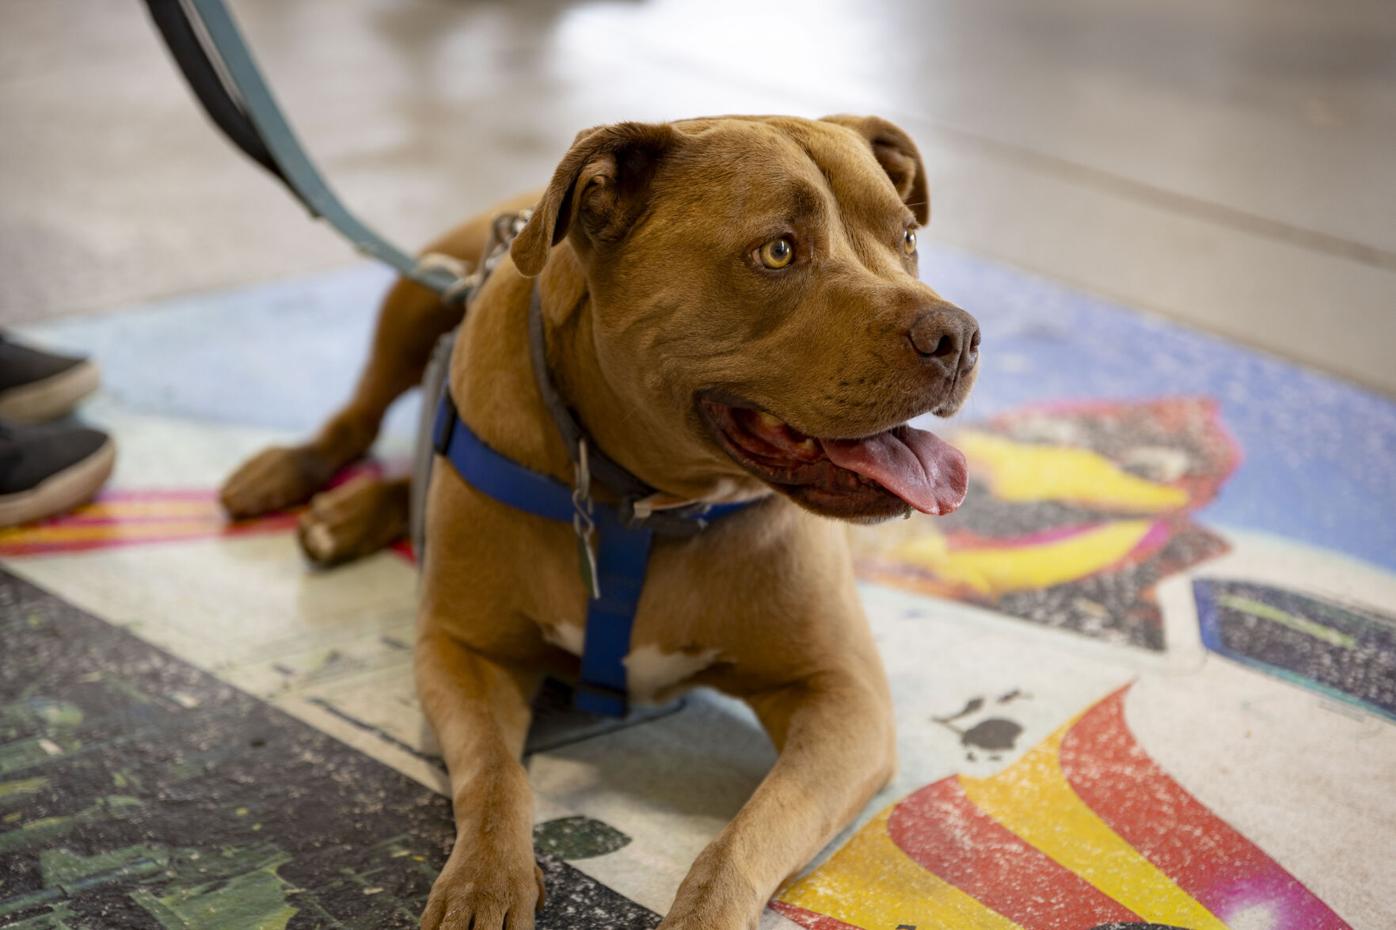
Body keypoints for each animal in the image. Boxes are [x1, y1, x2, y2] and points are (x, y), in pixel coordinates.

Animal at [220, 112, 982, 921]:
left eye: (907, 237)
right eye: (777, 251)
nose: (958, 335)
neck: (649, 506)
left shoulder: (845, 699)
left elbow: (745, 838)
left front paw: (702, 913)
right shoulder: (464, 652)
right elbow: (494, 776)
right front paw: (483, 879)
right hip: (413, 298)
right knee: (360, 416)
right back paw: (298, 484)